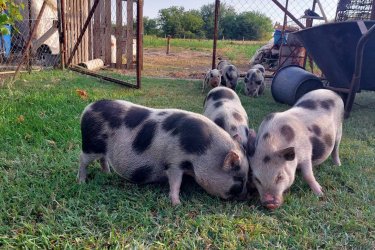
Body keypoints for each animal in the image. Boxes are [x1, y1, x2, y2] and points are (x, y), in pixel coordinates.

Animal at [78, 99, 250, 205]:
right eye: (239, 179)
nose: (245, 196)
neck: (206, 151)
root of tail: (87, 108)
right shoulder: (174, 161)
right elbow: (175, 182)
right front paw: (177, 204)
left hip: (101, 149)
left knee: (102, 159)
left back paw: (107, 174)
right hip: (90, 145)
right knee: (82, 160)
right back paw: (81, 182)